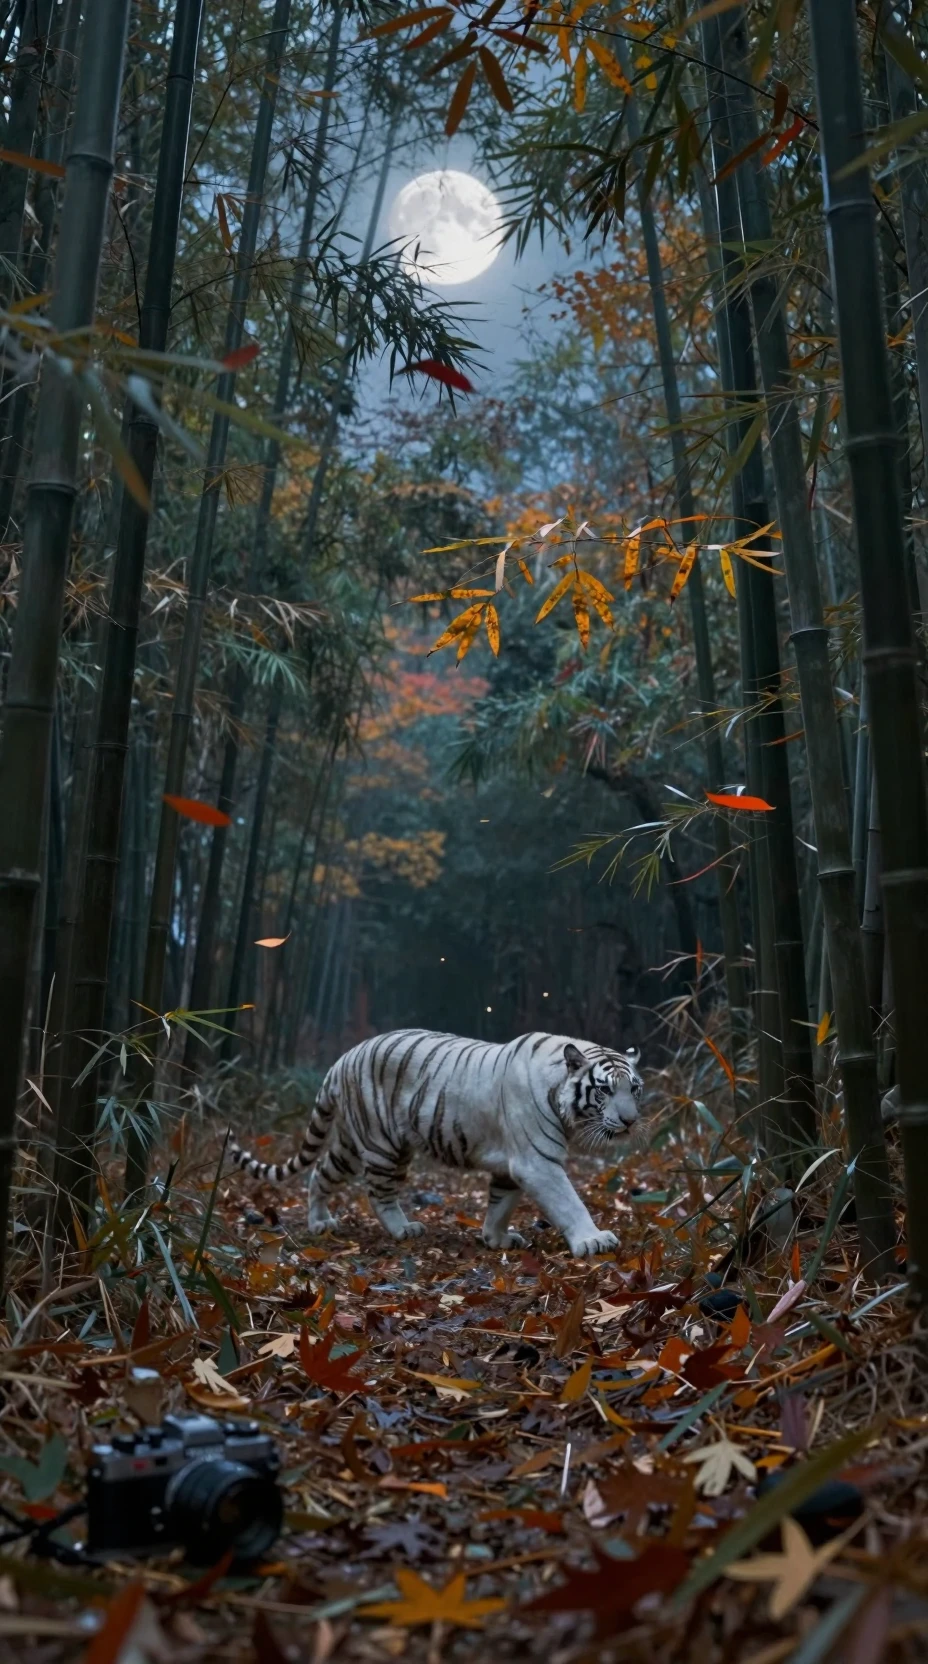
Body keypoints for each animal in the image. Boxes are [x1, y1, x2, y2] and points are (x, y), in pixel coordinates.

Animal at [228, 1028, 643, 1258]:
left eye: (634, 1089)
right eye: (605, 1090)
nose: (630, 1121)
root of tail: (342, 1059)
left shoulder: (512, 1166)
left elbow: (500, 1205)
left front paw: (496, 1238)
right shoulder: (537, 1162)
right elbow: (569, 1203)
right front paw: (593, 1240)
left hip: (350, 1142)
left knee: (320, 1172)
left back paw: (319, 1222)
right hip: (384, 1146)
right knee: (379, 1193)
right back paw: (403, 1229)